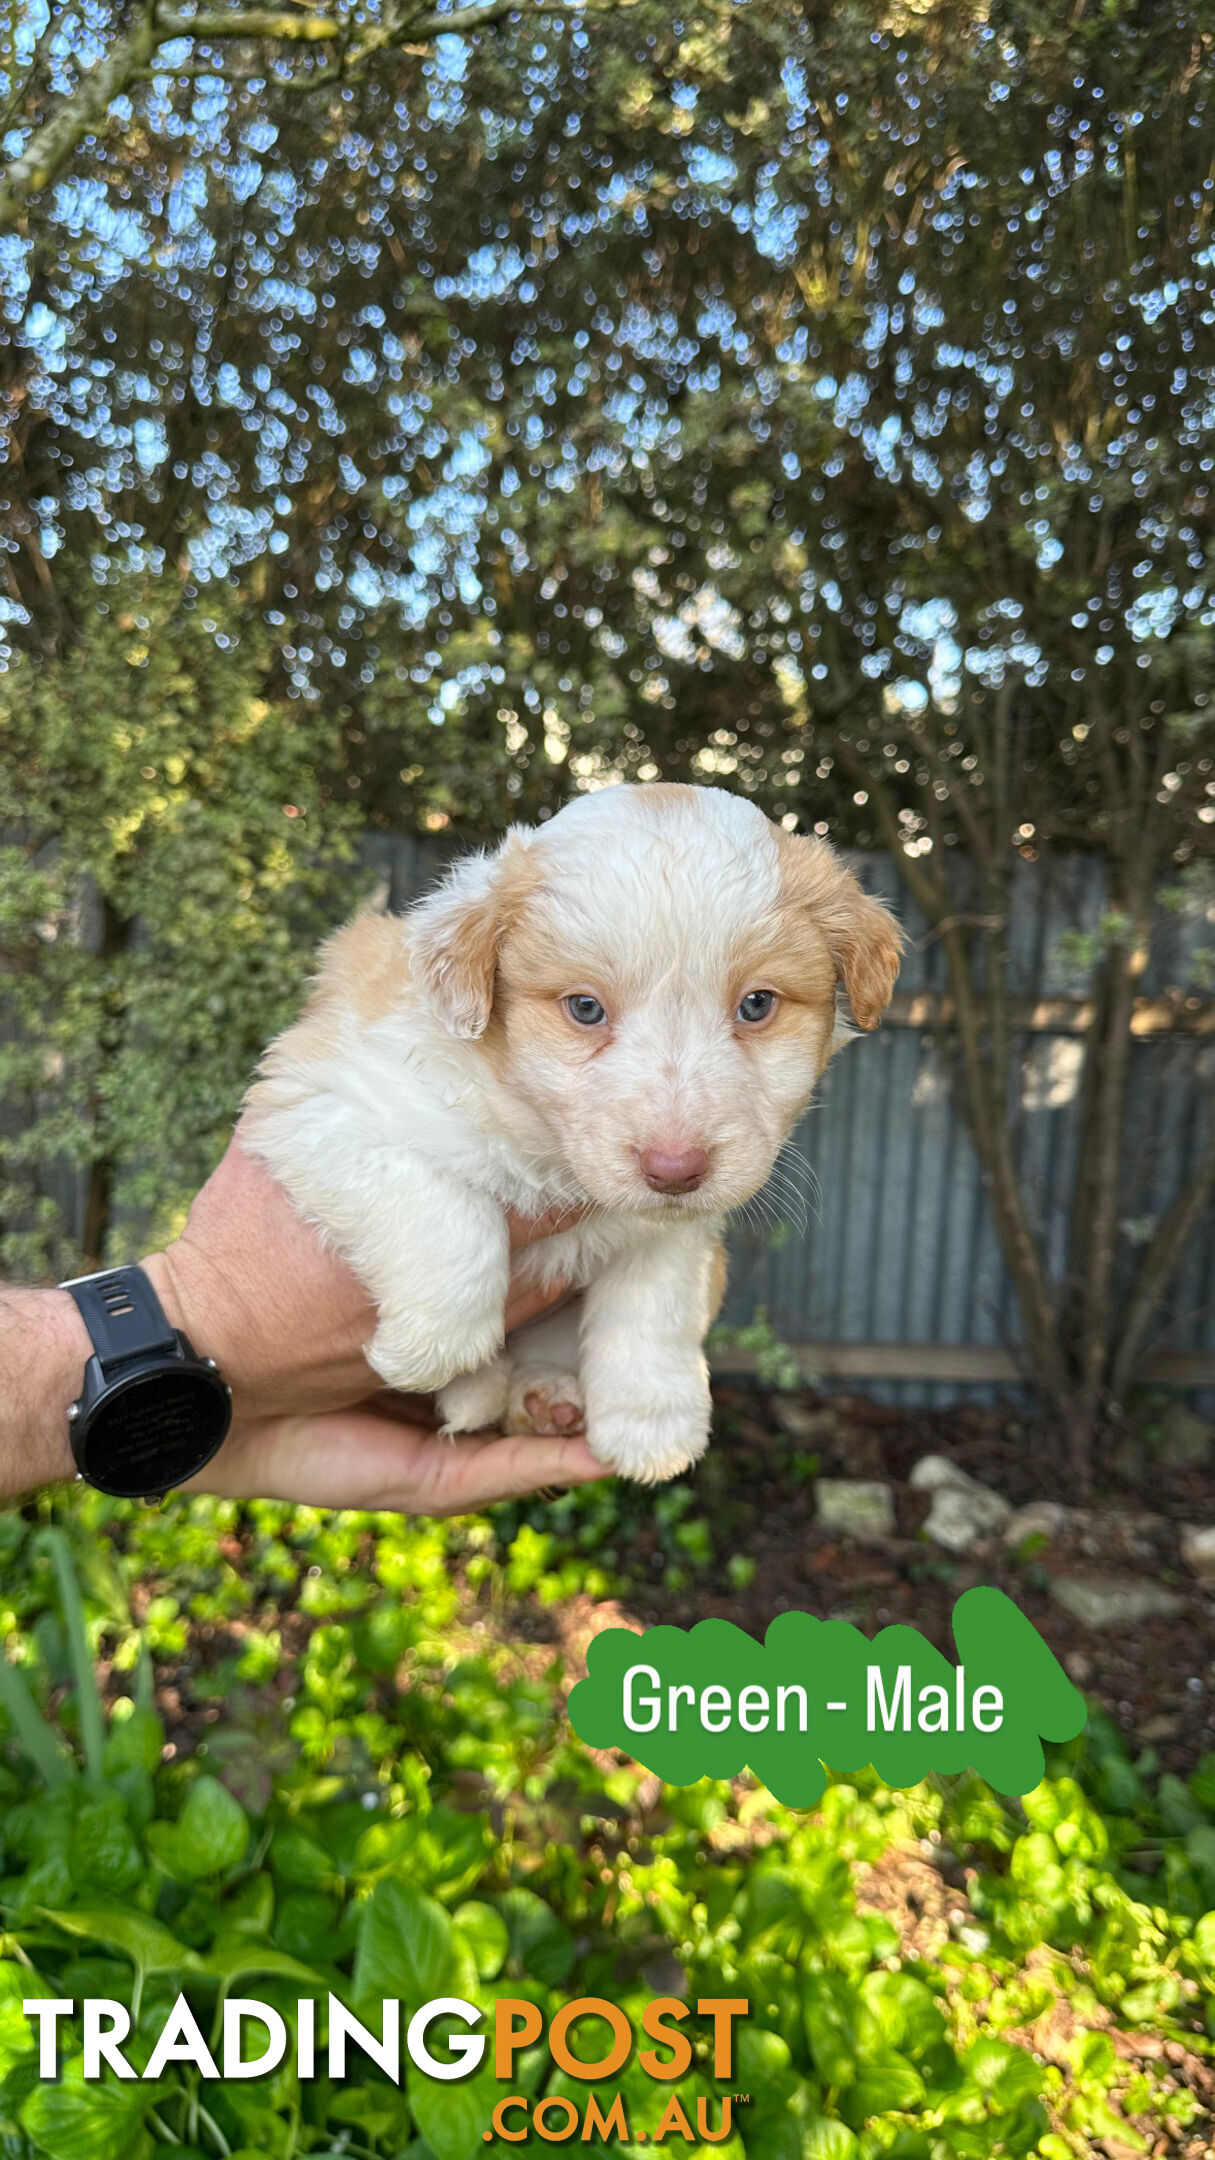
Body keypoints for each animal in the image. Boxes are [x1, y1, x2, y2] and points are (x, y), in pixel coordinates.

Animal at [238, 790, 899, 1486]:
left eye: (757, 1005)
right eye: (585, 1008)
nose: (674, 1168)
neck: (546, 1147)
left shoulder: (673, 1232)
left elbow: (654, 1309)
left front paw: (651, 1422)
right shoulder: (318, 1104)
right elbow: (449, 1218)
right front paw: (431, 1348)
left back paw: (543, 1398)